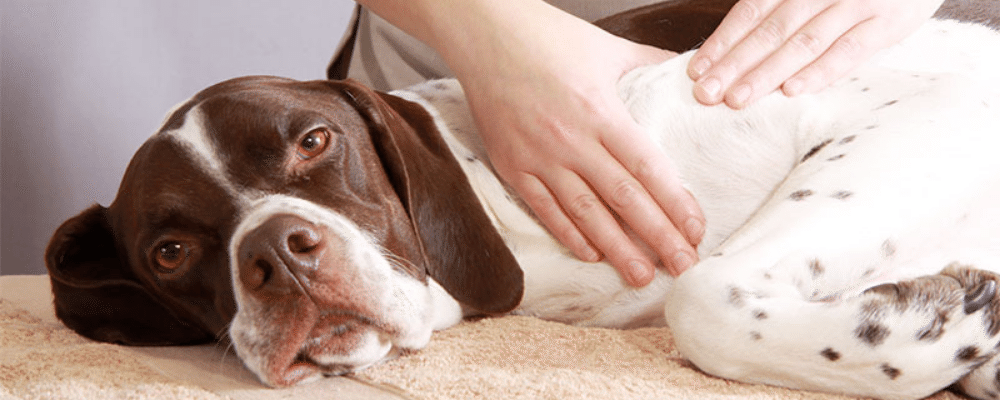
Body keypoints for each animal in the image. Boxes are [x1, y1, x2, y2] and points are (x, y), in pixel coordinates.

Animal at [48, 0, 1000, 400]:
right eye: (171, 251)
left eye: (313, 142)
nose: (276, 253)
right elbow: (705, 300)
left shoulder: (942, 104)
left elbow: (701, 296)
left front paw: (948, 325)